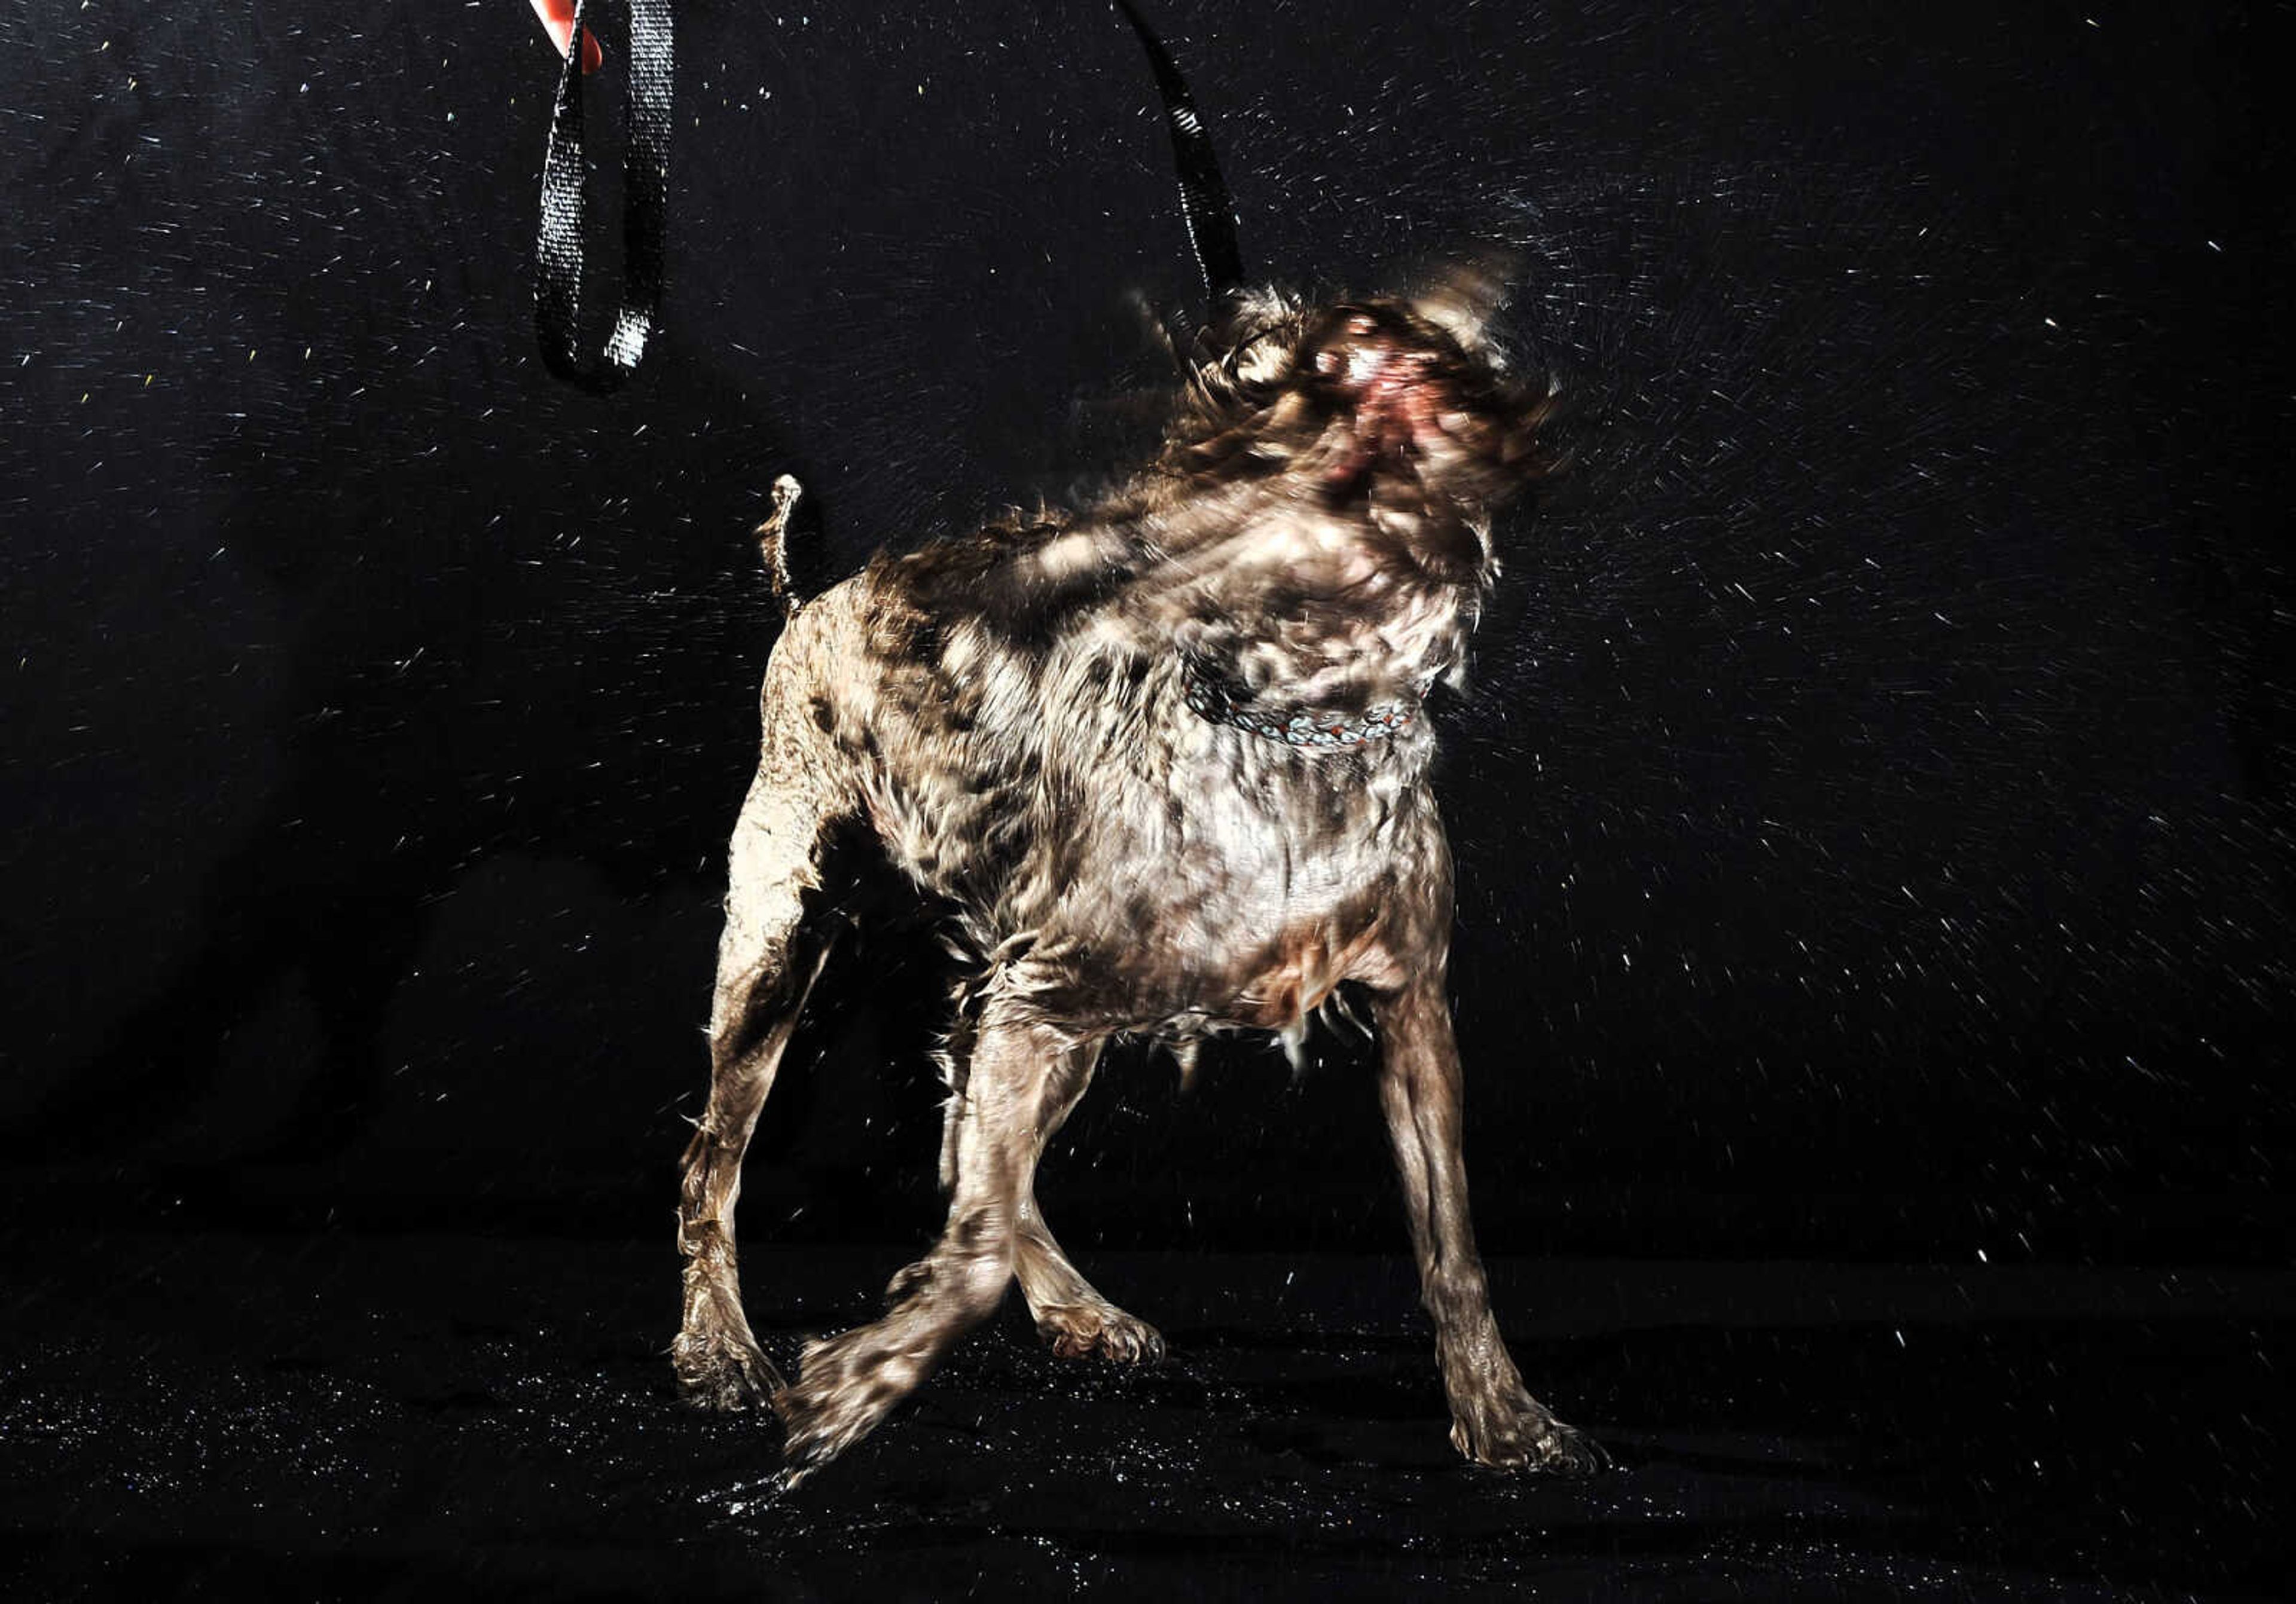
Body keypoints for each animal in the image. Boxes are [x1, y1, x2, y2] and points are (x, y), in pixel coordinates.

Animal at [665, 273, 1598, 1477]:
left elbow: (1455, 1244)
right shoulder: (1038, 997)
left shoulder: (1412, 1016)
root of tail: (805, 603)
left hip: (1039, 1018)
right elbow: (967, 1251)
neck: (1294, 739)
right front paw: (855, 1384)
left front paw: (1502, 1413)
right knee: (719, 1162)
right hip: (788, 946)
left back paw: (1073, 1305)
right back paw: (721, 1350)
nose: (1024, 575)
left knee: (973, 1157)